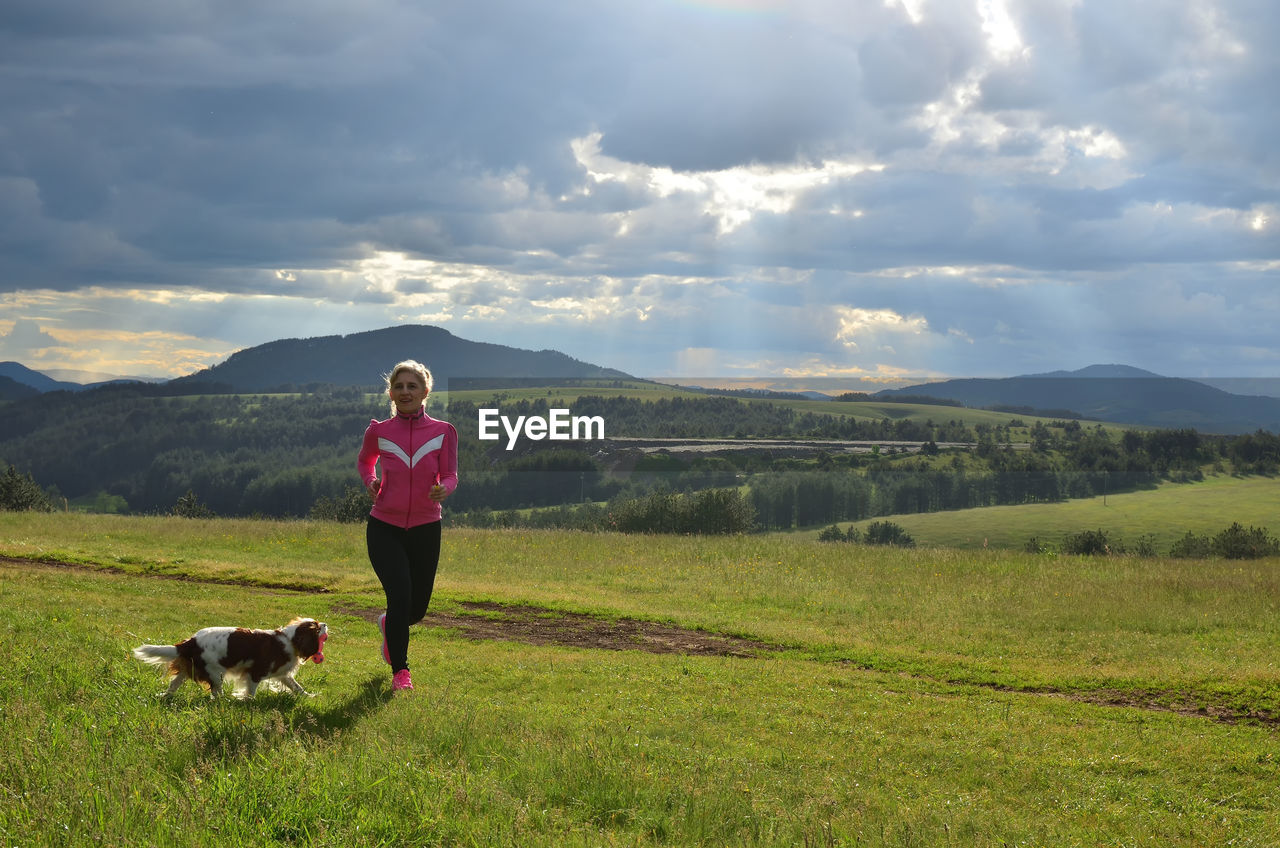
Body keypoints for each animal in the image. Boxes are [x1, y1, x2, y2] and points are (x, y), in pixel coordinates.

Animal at [131, 617, 325, 696]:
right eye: (317, 627)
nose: (325, 623)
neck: (289, 639)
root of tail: (190, 642)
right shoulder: (255, 672)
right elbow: (250, 693)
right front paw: (246, 702)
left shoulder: (283, 674)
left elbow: (296, 687)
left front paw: (309, 696)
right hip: (216, 674)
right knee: (216, 694)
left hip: (189, 670)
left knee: (173, 684)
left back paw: (165, 696)